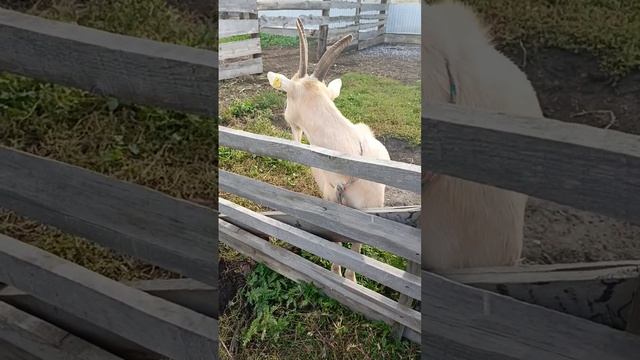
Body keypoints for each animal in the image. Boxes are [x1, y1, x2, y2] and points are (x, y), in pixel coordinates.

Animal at [264, 19, 390, 284]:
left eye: (286, 96)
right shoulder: (331, 203)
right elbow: (336, 242)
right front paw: (335, 273)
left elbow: (357, 247)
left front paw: (351, 280)